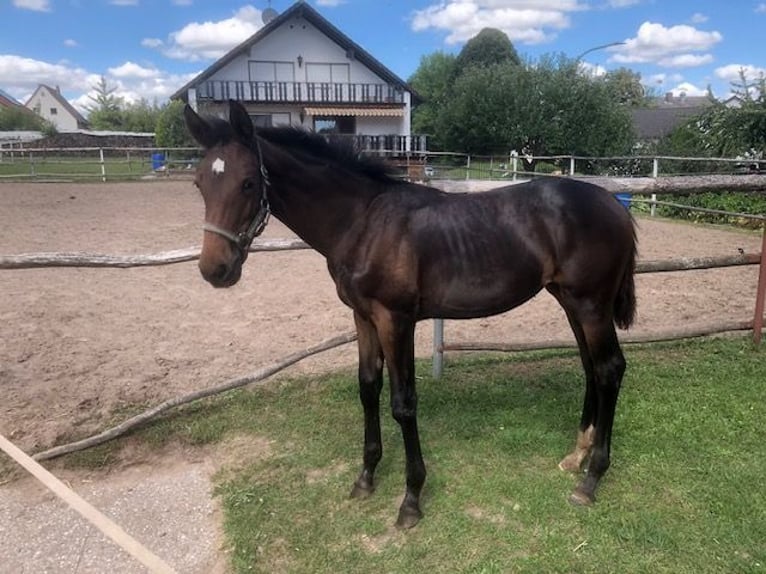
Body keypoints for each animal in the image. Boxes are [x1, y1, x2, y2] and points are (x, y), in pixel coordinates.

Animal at [183, 100, 637, 529]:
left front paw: (411, 500)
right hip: (570, 301)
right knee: (590, 367)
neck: (363, 222)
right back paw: (576, 456)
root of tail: (614, 204)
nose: (215, 270)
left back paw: (591, 479)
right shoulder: (363, 317)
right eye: (200, 183)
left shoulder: (394, 319)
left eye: (248, 182)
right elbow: (368, 388)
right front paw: (365, 477)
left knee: (609, 369)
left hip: (591, 304)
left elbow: (403, 403)